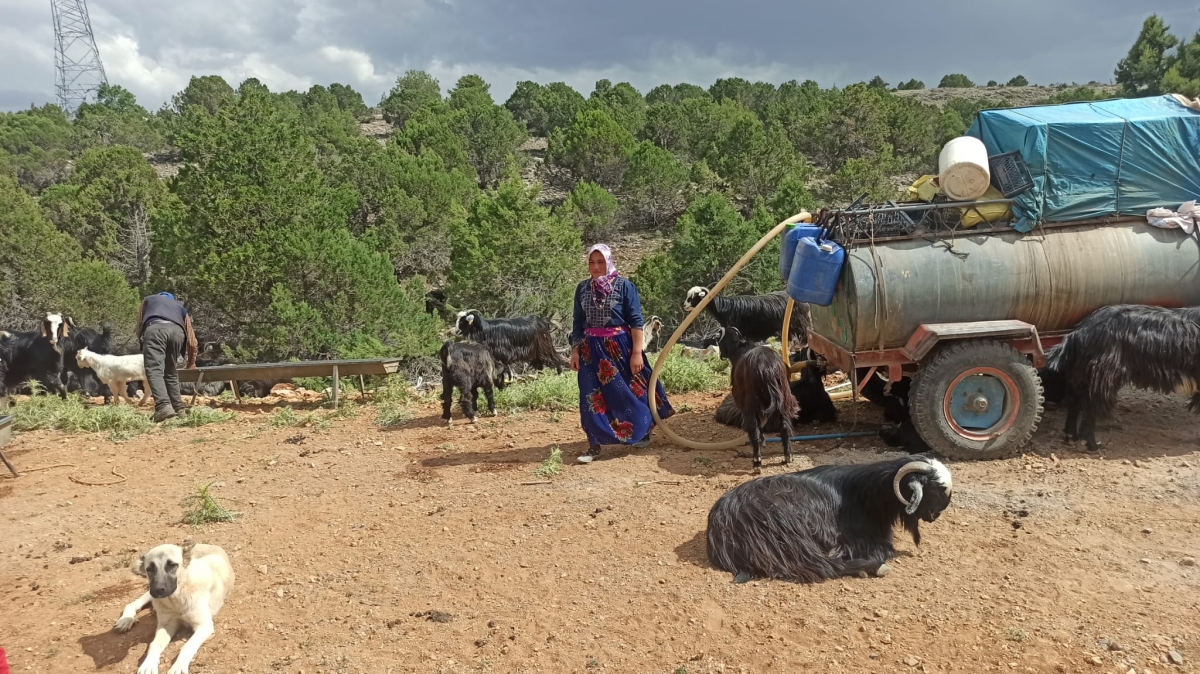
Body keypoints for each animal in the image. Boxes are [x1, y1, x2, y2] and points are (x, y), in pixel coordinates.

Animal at [115, 537, 237, 671]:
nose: (158, 590)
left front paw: (178, 666)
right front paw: (148, 664)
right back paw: (126, 620)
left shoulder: (204, 625)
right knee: (132, 604)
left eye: (172, 565)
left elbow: (186, 646)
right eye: (150, 569)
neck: (176, 600)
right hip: (150, 594)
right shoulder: (167, 624)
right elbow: (154, 644)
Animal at [700, 453, 955, 580]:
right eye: (935, 489)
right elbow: (885, 549)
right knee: (819, 567)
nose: (936, 515)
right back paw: (871, 568)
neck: (867, 494)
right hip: (790, 535)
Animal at [715, 326, 801, 467]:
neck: (739, 348)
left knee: (753, 428)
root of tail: (768, 368)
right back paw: (788, 456)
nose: (721, 355)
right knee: (784, 426)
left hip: (751, 402)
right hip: (784, 398)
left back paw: (757, 461)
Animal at [1046, 304, 1200, 450]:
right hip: (1102, 375)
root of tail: (1079, 332)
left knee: (1075, 402)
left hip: (1079, 375)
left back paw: (1071, 437)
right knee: (1090, 406)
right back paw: (1091, 444)